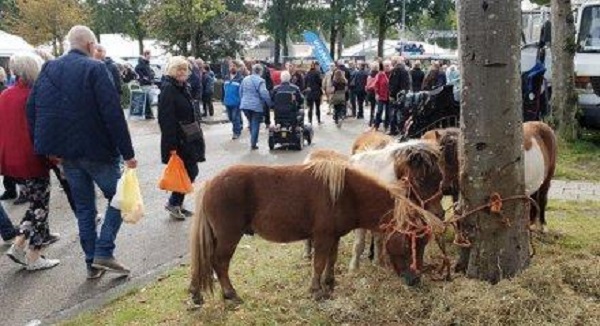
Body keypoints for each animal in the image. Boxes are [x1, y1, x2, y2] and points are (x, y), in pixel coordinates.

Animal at [190, 160, 438, 306]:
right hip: (228, 237)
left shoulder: (334, 237)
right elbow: (318, 263)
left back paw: (196, 294)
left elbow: (331, 259)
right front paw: (317, 290)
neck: (346, 193)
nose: (416, 279)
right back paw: (231, 294)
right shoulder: (322, 237)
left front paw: (330, 284)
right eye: (408, 243)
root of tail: (210, 184)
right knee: (219, 263)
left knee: (205, 262)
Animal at [422, 121, 556, 232]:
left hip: (547, 180)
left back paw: (542, 226)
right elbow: (458, 214)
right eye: (439, 158)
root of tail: (542, 125)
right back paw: (532, 224)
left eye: (461, 158)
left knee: (542, 198)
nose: (446, 188)